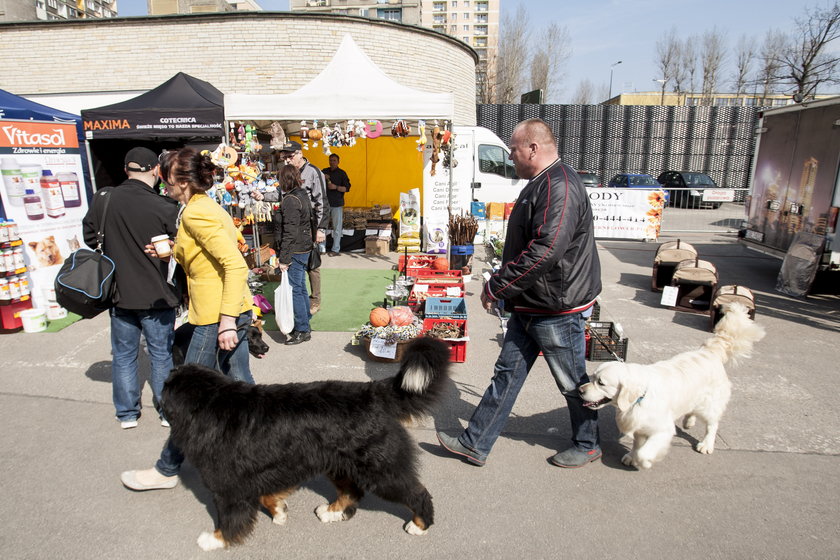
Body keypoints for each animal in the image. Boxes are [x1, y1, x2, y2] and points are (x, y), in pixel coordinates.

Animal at [163, 336, 452, 552]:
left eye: (166, 387)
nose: (159, 399)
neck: (211, 405)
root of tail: (373, 392)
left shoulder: (228, 487)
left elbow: (228, 518)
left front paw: (215, 539)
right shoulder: (264, 469)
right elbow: (266, 494)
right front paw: (279, 511)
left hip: (381, 470)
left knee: (417, 493)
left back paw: (419, 524)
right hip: (339, 464)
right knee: (352, 492)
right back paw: (332, 511)